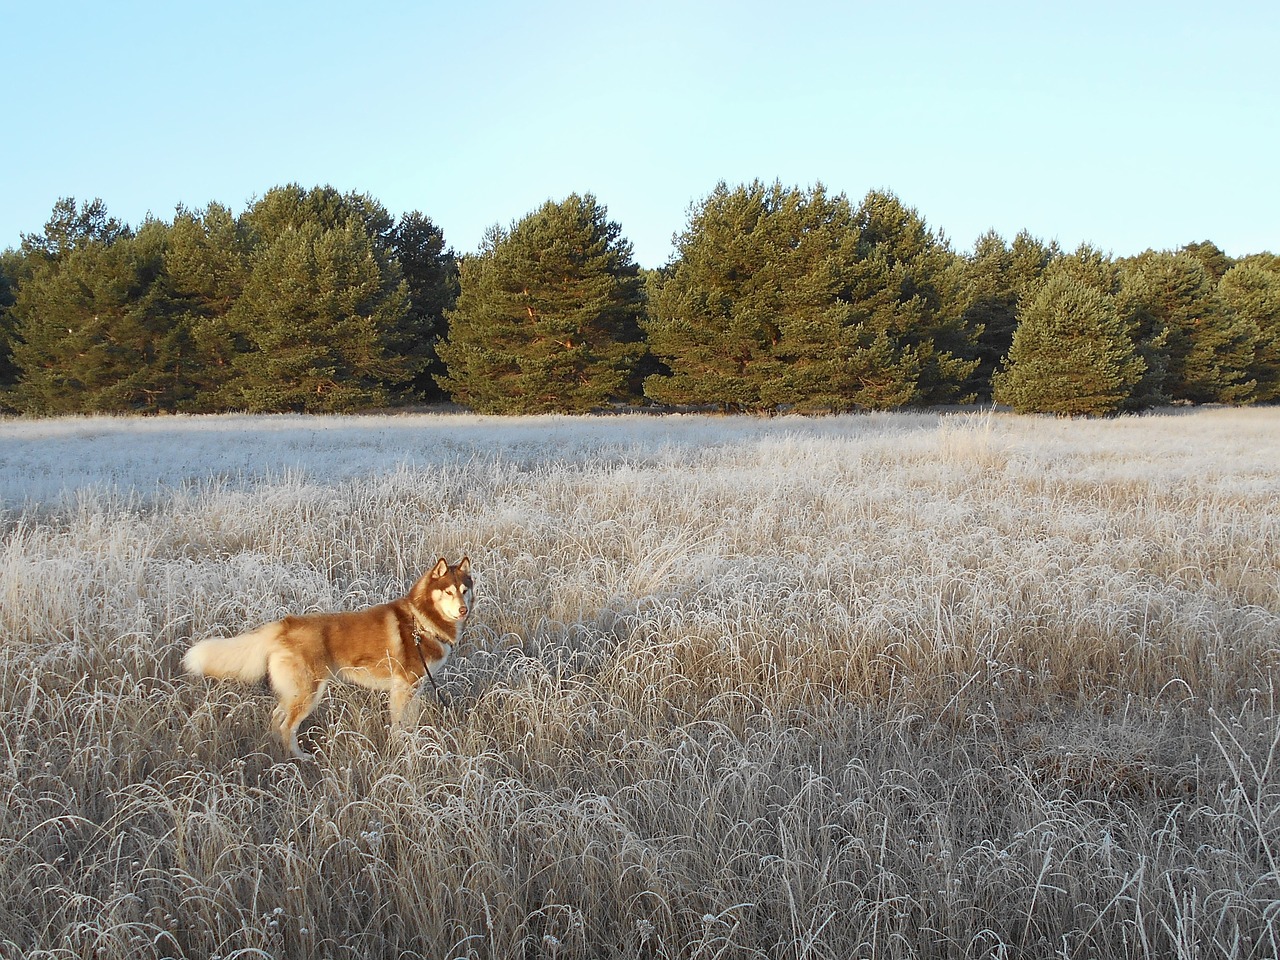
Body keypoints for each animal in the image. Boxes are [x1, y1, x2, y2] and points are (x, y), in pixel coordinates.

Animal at [183, 555, 473, 757]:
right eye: (448, 592)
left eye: (464, 590)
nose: (463, 610)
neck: (421, 622)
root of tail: (285, 625)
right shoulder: (403, 688)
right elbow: (399, 725)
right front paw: (403, 747)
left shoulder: (415, 687)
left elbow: (410, 722)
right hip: (308, 693)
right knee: (287, 726)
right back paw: (298, 758)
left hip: (294, 692)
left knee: (276, 717)